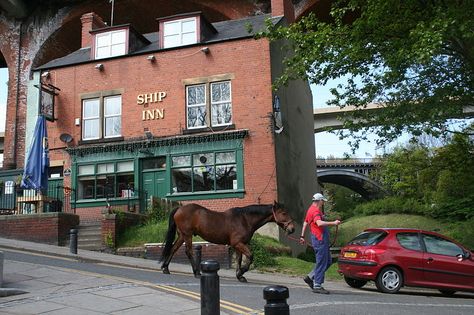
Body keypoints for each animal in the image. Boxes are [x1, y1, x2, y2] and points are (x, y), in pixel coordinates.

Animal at [159, 201, 294, 282]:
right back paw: (197, 273)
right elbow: (250, 256)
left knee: (173, 249)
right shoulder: (238, 244)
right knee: (189, 252)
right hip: (187, 235)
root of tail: (179, 208)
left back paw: (165, 268)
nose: (292, 229)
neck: (244, 219)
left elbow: (239, 259)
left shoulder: (240, 244)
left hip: (182, 235)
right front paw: (242, 272)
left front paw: (239, 276)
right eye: (283, 213)